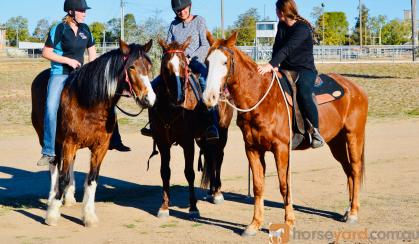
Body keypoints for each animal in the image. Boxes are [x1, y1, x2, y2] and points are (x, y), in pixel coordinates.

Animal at [31, 40, 156, 227]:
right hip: (48, 139)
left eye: (149, 66)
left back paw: (69, 197)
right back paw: (53, 197)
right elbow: (63, 177)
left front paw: (89, 216)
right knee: (53, 165)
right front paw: (52, 215)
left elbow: (92, 179)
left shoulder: (100, 147)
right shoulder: (69, 142)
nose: (149, 99)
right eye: (132, 67)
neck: (88, 102)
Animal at [148, 38, 233, 219]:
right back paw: (211, 191)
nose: (179, 98)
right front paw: (164, 206)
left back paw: (217, 192)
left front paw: (193, 207)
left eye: (183, 67)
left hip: (222, 134)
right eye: (166, 67)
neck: (171, 108)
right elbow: (165, 171)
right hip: (203, 139)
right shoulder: (162, 141)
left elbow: (189, 172)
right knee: (211, 157)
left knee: (218, 157)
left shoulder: (188, 142)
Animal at [203, 32, 368, 236]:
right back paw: (347, 210)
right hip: (336, 142)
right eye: (207, 62)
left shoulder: (281, 149)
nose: (209, 97)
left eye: (225, 62)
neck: (261, 97)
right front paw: (254, 224)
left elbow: (284, 185)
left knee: (355, 169)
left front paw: (289, 222)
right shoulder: (252, 149)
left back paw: (353, 213)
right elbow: (258, 186)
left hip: (354, 136)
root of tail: (356, 89)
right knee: (348, 171)